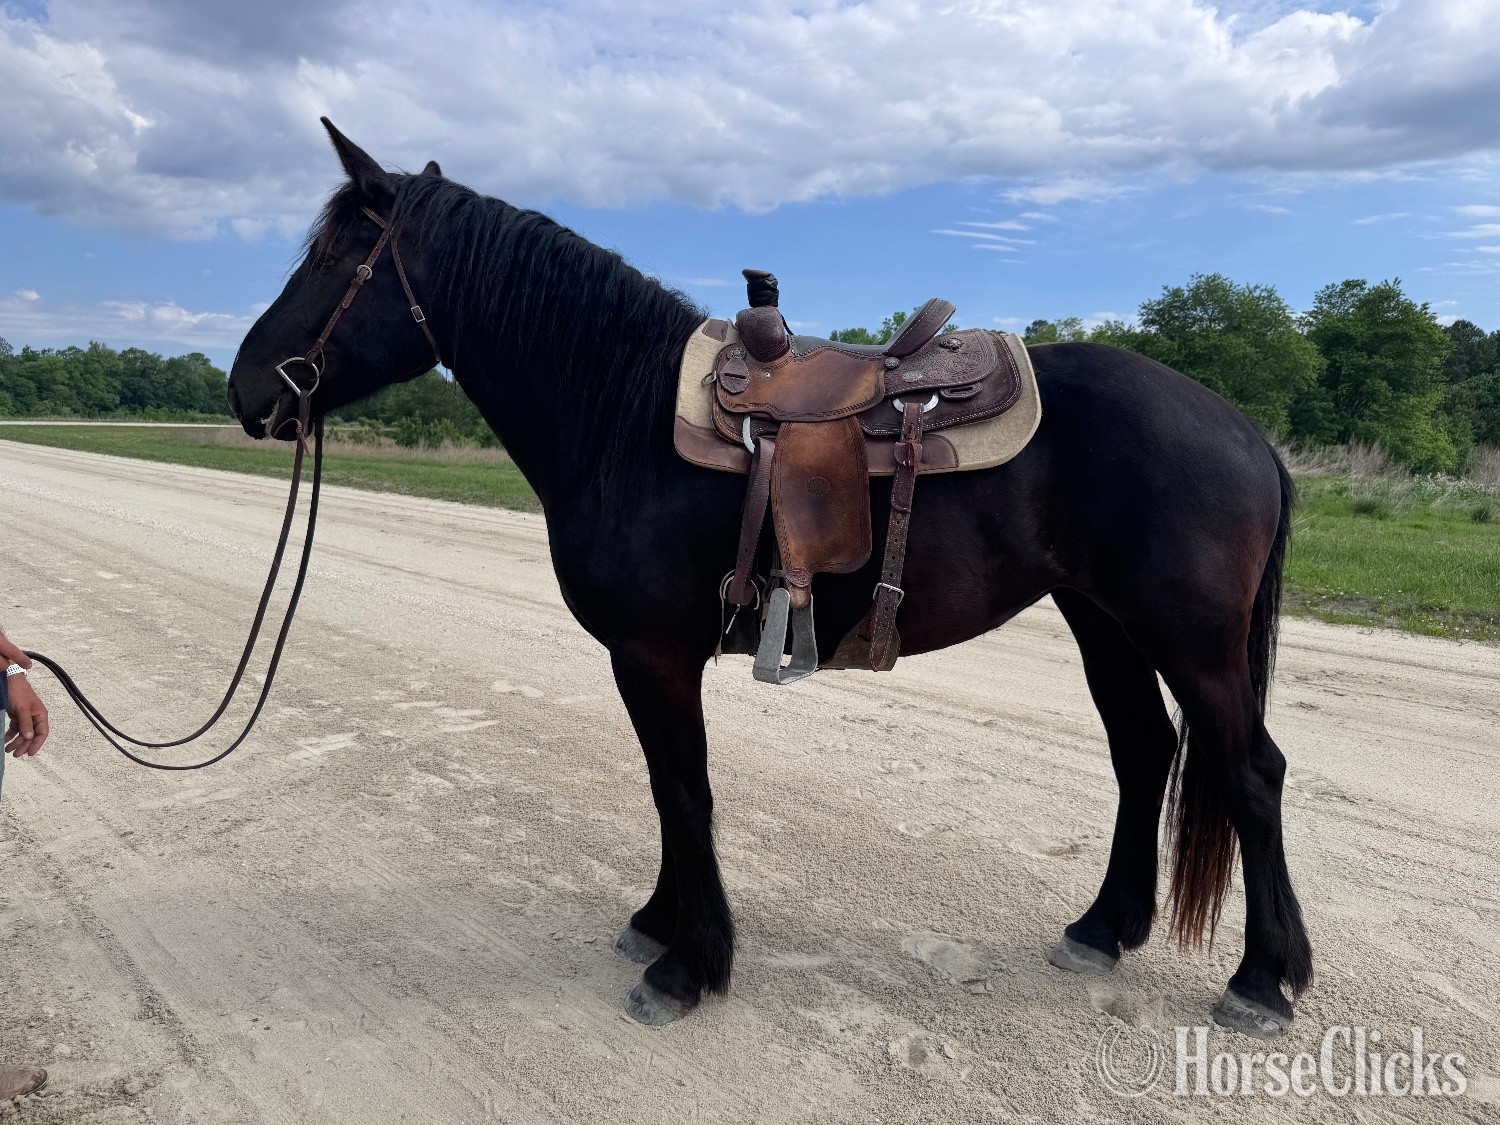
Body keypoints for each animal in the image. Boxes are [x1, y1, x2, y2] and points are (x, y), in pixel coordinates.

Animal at [226, 120, 1313, 1036]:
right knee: (1144, 751)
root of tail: (1245, 430)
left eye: (332, 262)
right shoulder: (651, 660)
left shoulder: (653, 655)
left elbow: (684, 789)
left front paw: (687, 965)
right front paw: (661, 923)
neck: (619, 417)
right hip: (1102, 621)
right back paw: (1101, 929)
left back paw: (1263, 978)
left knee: (1250, 771)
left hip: (1188, 636)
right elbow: (670, 789)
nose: (245, 388)